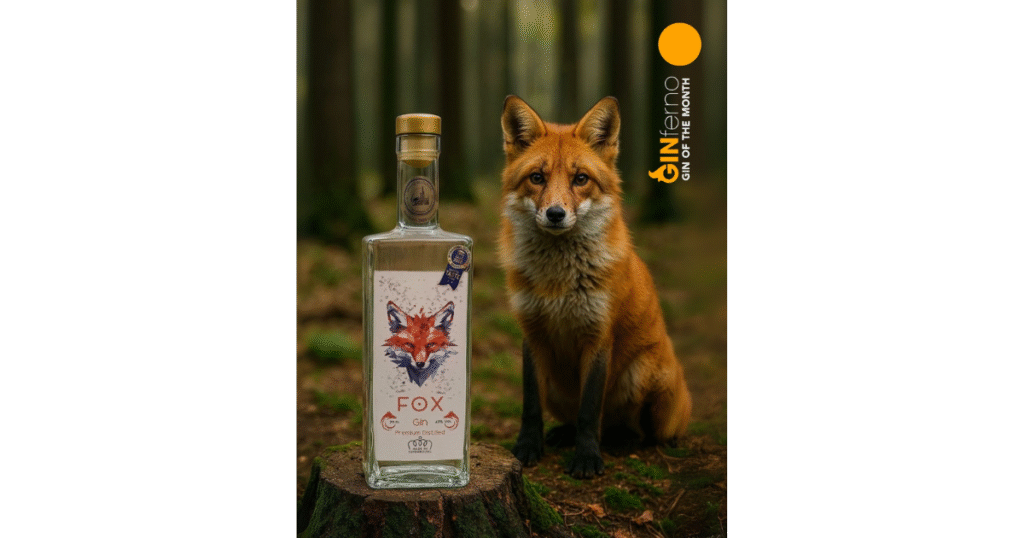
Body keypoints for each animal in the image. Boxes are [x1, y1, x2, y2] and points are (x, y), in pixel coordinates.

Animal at [499, 95, 692, 479]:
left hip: (642, 375)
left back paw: (619, 440)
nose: (555, 214)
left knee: (637, 431)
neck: (558, 283)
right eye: (537, 178)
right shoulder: (532, 333)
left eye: (581, 179)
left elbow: (590, 410)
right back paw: (564, 433)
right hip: (558, 388)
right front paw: (528, 447)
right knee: (574, 417)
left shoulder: (599, 335)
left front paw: (587, 458)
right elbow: (531, 404)